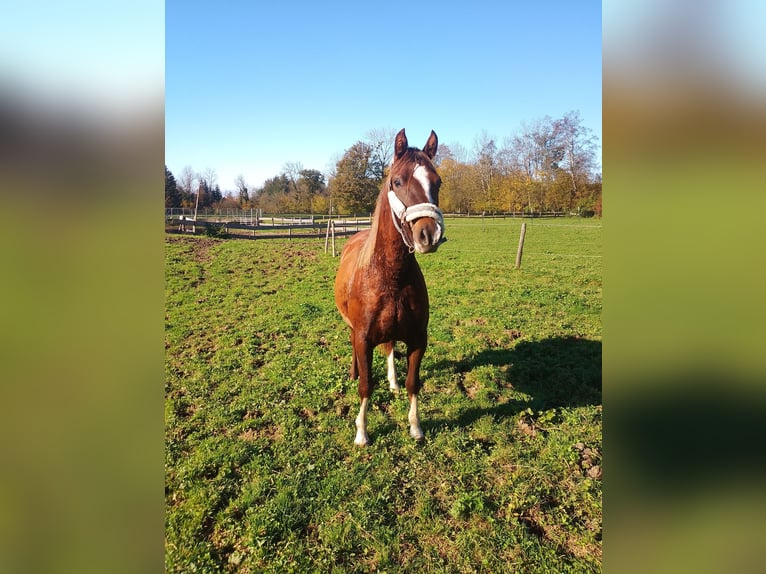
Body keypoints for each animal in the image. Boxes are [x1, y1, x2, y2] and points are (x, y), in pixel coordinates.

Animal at [332, 128, 448, 448]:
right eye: (397, 181)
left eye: (437, 182)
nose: (429, 234)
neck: (390, 276)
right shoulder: (363, 339)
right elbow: (366, 385)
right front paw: (361, 432)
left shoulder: (418, 338)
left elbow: (413, 382)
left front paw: (415, 427)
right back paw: (353, 372)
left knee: (390, 348)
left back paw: (393, 382)